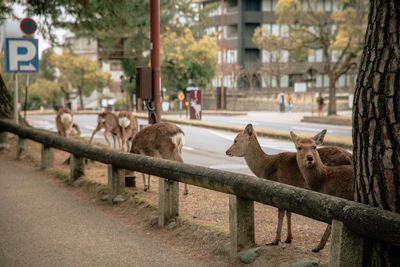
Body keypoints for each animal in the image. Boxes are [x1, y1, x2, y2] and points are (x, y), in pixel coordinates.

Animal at [225, 124, 354, 252]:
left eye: (236, 140)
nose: (227, 151)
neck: (265, 168)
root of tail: (350, 157)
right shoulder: (289, 192)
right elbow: (289, 212)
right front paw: (288, 238)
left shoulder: (278, 188)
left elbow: (281, 213)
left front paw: (275, 240)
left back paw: (319, 246)